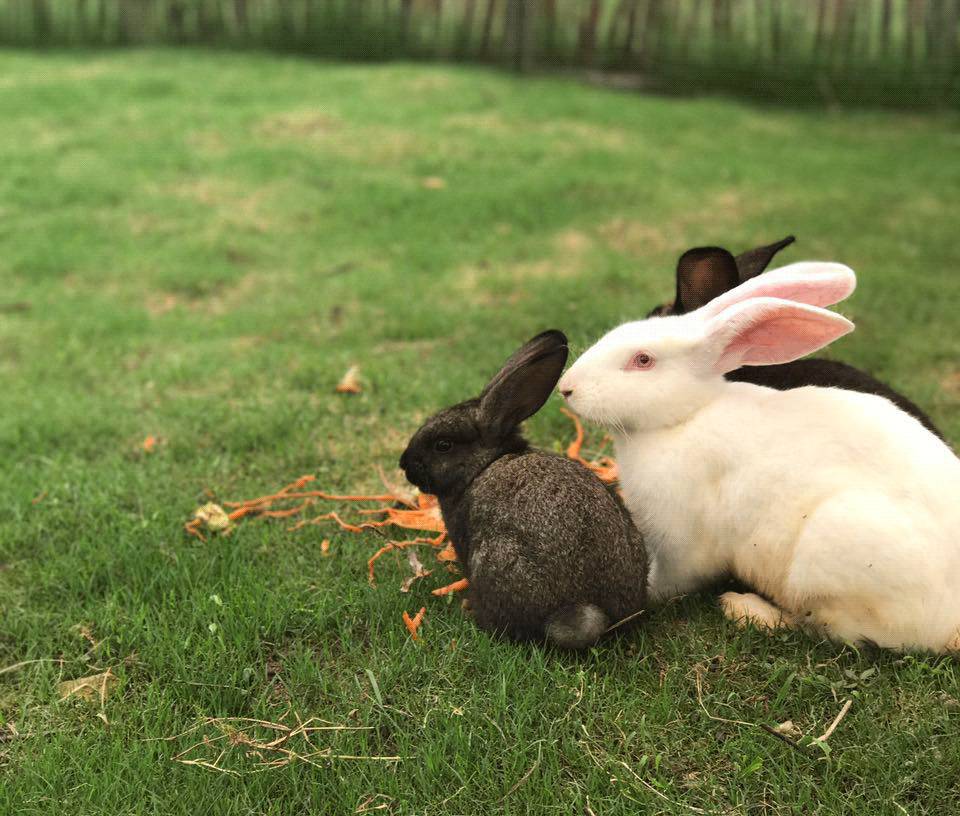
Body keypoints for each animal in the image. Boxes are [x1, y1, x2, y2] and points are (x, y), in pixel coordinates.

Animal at [560, 245, 956, 652]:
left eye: (643, 360)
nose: (566, 387)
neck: (686, 417)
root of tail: (951, 623)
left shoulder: (681, 543)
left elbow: (669, 580)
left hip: (830, 558)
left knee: (834, 631)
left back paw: (745, 608)